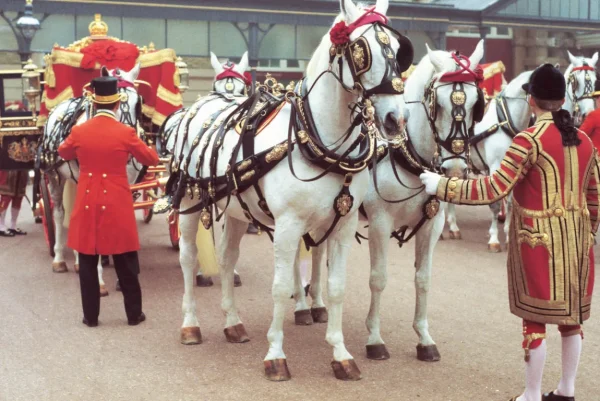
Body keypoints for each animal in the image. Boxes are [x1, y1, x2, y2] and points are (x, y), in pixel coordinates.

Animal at [170, 0, 408, 378]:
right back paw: (191, 324)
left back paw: (233, 323)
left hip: (238, 210)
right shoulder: (287, 225)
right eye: (361, 49)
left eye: (400, 51)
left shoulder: (344, 225)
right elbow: (281, 288)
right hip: (189, 202)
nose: (395, 119)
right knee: (188, 258)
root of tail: (203, 103)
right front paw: (276, 355)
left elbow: (337, 288)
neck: (317, 141)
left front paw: (341, 354)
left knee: (226, 259)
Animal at [296, 42, 488, 360]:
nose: (455, 169)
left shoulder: (431, 226)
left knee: (319, 251)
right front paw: (374, 338)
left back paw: (318, 304)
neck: (408, 156)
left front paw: (424, 338)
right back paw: (301, 306)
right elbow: (378, 278)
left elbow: (423, 279)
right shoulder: (380, 223)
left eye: (476, 105)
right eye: (439, 104)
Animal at [442, 69, 532, 250]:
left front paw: (508, 235)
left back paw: (454, 227)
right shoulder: (495, 166)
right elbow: (495, 203)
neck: (504, 120)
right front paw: (494, 239)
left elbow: (510, 203)